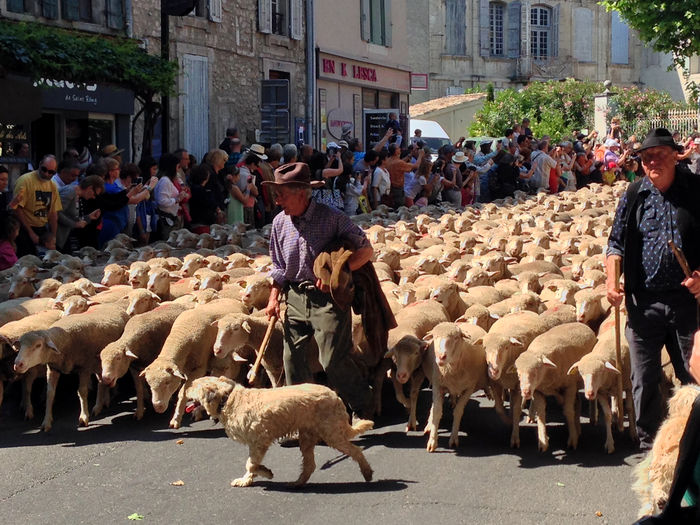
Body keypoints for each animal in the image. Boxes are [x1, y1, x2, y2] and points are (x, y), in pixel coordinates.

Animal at [13, 302, 131, 430]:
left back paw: (102, 402)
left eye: (38, 345)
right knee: (101, 381)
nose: (18, 364)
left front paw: (83, 418)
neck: (64, 339)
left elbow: (82, 391)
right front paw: (46, 421)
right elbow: (50, 394)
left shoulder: (85, 368)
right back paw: (103, 403)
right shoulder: (53, 368)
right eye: (20, 345)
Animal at [139, 296, 246, 428]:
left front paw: (176, 419)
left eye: (167, 382)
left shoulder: (198, 369)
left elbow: (183, 392)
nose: (158, 407)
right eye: (148, 383)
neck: (182, 333)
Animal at [183, 376, 374, 488]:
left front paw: (262, 473)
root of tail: (335, 396)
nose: (184, 389)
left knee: (356, 450)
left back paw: (367, 472)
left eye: (194, 385)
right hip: (307, 436)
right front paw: (250, 478)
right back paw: (298, 482)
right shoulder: (255, 444)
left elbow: (250, 463)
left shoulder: (260, 441)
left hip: (331, 433)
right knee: (310, 464)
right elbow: (252, 464)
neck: (228, 399)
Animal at [568, 310, 636, 452]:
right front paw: (610, 443)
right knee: (615, 398)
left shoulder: (628, 386)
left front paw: (633, 433)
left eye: (600, 372)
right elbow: (607, 415)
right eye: (581, 373)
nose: (589, 394)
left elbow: (629, 408)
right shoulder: (601, 393)